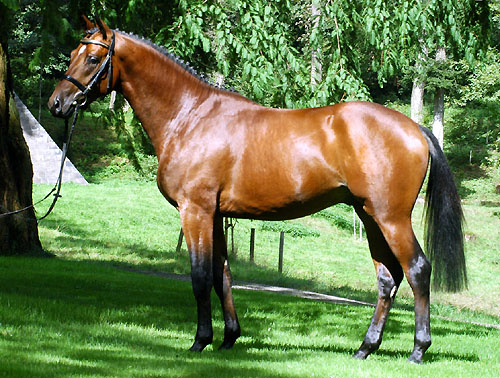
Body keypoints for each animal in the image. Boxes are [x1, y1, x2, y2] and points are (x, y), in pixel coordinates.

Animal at [48, 17, 466, 364]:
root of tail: (414, 128)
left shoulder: (195, 210)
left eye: (92, 58)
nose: (57, 103)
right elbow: (222, 275)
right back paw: (366, 347)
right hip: (369, 215)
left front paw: (200, 341)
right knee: (387, 279)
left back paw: (418, 350)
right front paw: (229, 338)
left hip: (391, 217)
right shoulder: (216, 215)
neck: (189, 115)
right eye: (72, 54)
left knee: (417, 270)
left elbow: (200, 277)